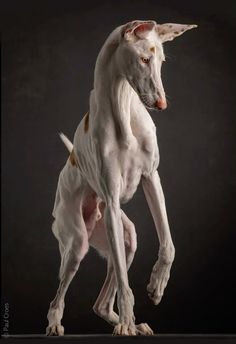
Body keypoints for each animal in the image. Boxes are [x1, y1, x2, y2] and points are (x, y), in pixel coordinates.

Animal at [45, 19, 196, 336]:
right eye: (144, 59)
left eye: (161, 61)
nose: (162, 105)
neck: (122, 108)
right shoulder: (113, 202)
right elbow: (126, 286)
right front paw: (127, 320)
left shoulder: (152, 178)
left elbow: (168, 244)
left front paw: (157, 285)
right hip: (77, 241)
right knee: (59, 294)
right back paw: (56, 323)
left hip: (127, 238)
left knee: (101, 303)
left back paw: (134, 323)